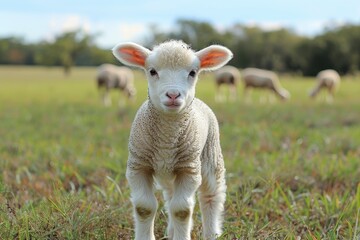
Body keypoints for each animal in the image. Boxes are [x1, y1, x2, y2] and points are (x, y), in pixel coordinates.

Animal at [111, 40, 232, 239]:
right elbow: (144, 208)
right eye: (152, 71)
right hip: (168, 173)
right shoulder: (138, 166)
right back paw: (171, 231)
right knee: (170, 196)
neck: (166, 140)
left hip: (210, 156)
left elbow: (182, 210)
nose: (173, 95)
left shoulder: (189, 169)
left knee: (211, 196)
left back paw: (211, 233)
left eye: (193, 72)